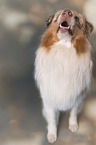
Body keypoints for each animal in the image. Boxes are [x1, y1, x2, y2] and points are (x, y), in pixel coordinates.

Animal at [34, 9, 93, 144]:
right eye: (59, 14)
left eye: (77, 19)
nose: (67, 12)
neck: (64, 48)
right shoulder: (49, 96)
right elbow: (51, 118)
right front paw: (51, 134)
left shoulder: (78, 95)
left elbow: (73, 113)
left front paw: (73, 125)